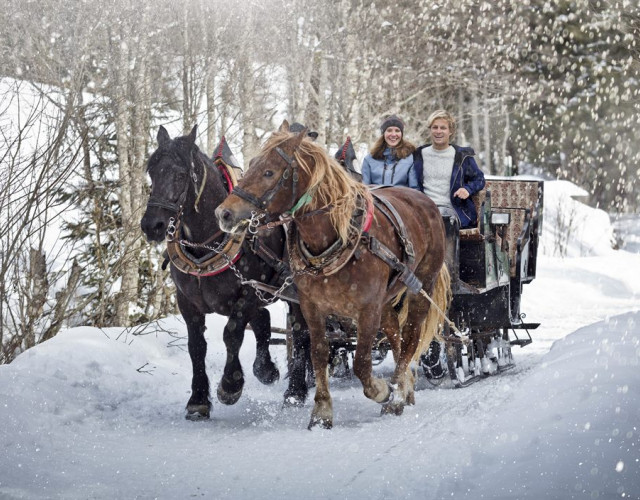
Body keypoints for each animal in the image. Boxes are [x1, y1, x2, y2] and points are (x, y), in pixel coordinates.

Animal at [140, 125, 309, 419]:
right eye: (152, 171)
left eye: (181, 174)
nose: (152, 225)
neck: (207, 242)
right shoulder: (187, 302)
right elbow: (196, 346)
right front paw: (198, 400)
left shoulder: (250, 291)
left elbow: (231, 334)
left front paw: (230, 385)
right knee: (264, 322)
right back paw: (266, 370)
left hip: (293, 292)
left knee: (299, 333)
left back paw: (295, 392)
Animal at [215, 121, 451, 429]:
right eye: (252, 164)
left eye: (269, 172)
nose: (224, 213)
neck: (337, 237)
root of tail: (425, 200)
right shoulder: (312, 306)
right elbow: (318, 353)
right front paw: (322, 412)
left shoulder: (367, 308)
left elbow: (362, 362)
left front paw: (383, 390)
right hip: (386, 301)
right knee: (396, 335)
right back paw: (406, 388)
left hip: (420, 287)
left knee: (410, 337)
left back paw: (398, 392)